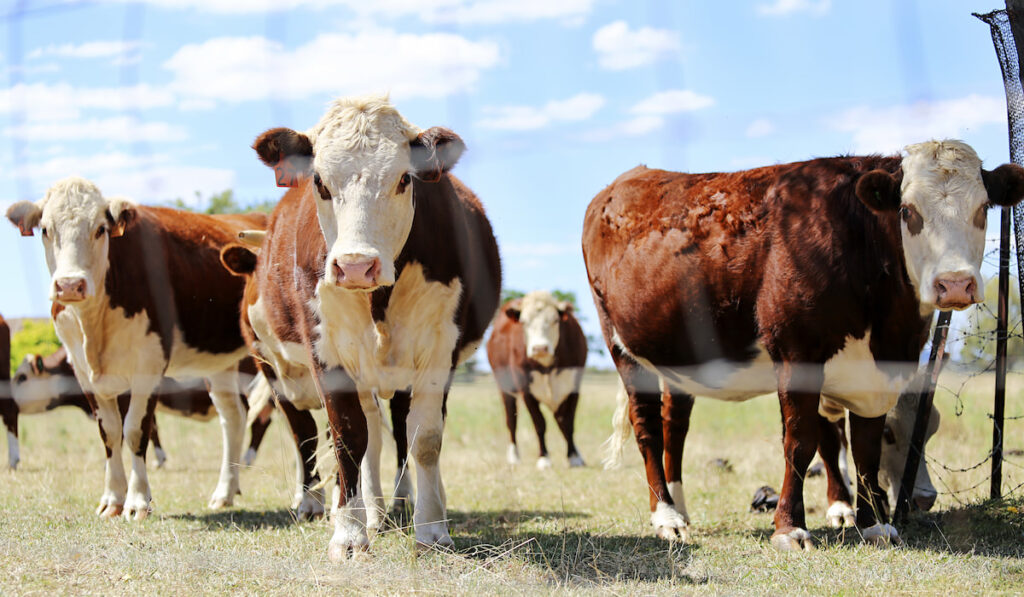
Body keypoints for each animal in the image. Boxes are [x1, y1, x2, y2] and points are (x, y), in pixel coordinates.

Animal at [243, 94, 499, 561]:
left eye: (403, 179)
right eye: (320, 182)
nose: (356, 266)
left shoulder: (439, 350)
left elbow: (425, 438)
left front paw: (432, 529)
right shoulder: (327, 352)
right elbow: (348, 437)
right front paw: (349, 533)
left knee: (399, 431)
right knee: (367, 438)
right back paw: (369, 512)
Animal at [485, 292, 585, 468]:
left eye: (555, 320)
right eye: (524, 322)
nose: (540, 348)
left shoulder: (574, 388)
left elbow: (568, 423)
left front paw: (574, 456)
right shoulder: (527, 392)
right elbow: (540, 424)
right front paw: (544, 458)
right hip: (505, 389)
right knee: (511, 421)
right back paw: (514, 456)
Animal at [585, 140, 1024, 552]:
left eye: (983, 208)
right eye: (907, 211)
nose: (955, 284)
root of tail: (628, 179)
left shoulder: (874, 374)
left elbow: (860, 445)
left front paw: (872, 523)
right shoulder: (798, 357)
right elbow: (801, 443)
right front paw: (790, 528)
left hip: (679, 357)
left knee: (674, 426)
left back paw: (679, 506)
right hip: (623, 350)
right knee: (648, 429)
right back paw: (665, 516)